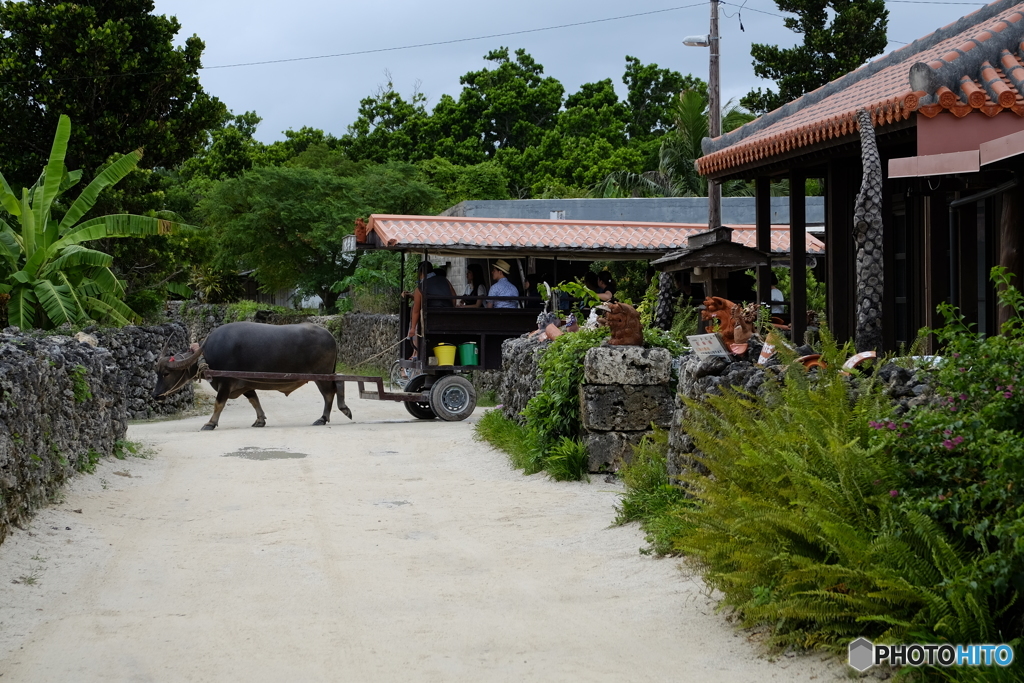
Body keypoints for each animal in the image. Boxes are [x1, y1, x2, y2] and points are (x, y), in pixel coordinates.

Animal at [152, 321, 352, 430]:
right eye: (157, 372)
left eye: (166, 373)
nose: (155, 395)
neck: (207, 355)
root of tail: (330, 336)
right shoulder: (245, 384)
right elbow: (255, 400)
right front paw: (260, 420)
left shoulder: (225, 383)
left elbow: (219, 404)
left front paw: (210, 423)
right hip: (327, 374)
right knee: (337, 385)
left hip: (321, 376)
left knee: (329, 393)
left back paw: (323, 418)